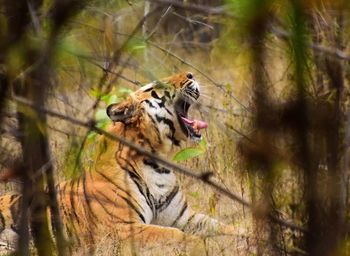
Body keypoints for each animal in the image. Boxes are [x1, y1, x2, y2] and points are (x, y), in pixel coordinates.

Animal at [1, 72, 235, 254]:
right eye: (157, 86)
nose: (191, 75)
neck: (159, 164)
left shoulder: (184, 217)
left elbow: (225, 226)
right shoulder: (122, 228)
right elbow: (177, 235)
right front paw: (203, 247)